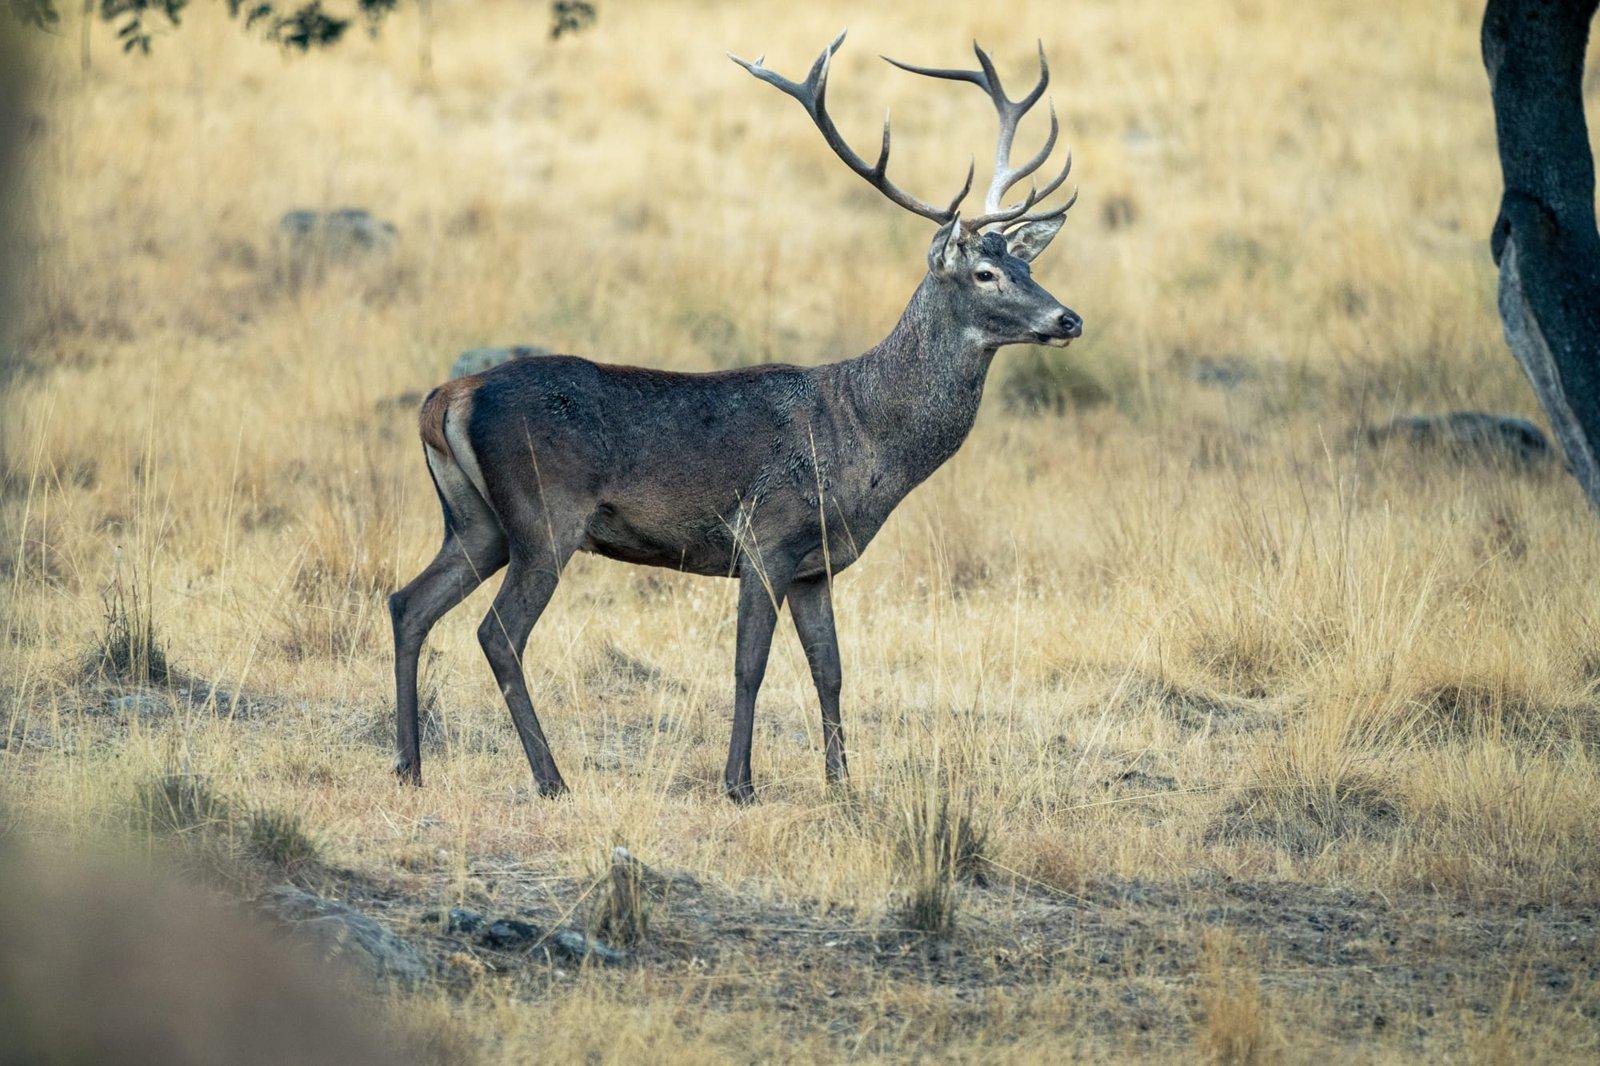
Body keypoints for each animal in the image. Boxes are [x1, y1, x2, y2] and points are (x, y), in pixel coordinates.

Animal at [388, 30, 1082, 803]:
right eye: (985, 274)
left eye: (1025, 267)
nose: (1068, 318)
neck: (866, 441)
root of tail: (449, 396)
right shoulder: (764, 536)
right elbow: (750, 665)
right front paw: (739, 783)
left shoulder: (816, 564)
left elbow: (830, 669)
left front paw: (843, 785)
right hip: (544, 516)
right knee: (497, 633)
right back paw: (551, 778)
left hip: (477, 522)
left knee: (408, 603)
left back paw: (410, 766)